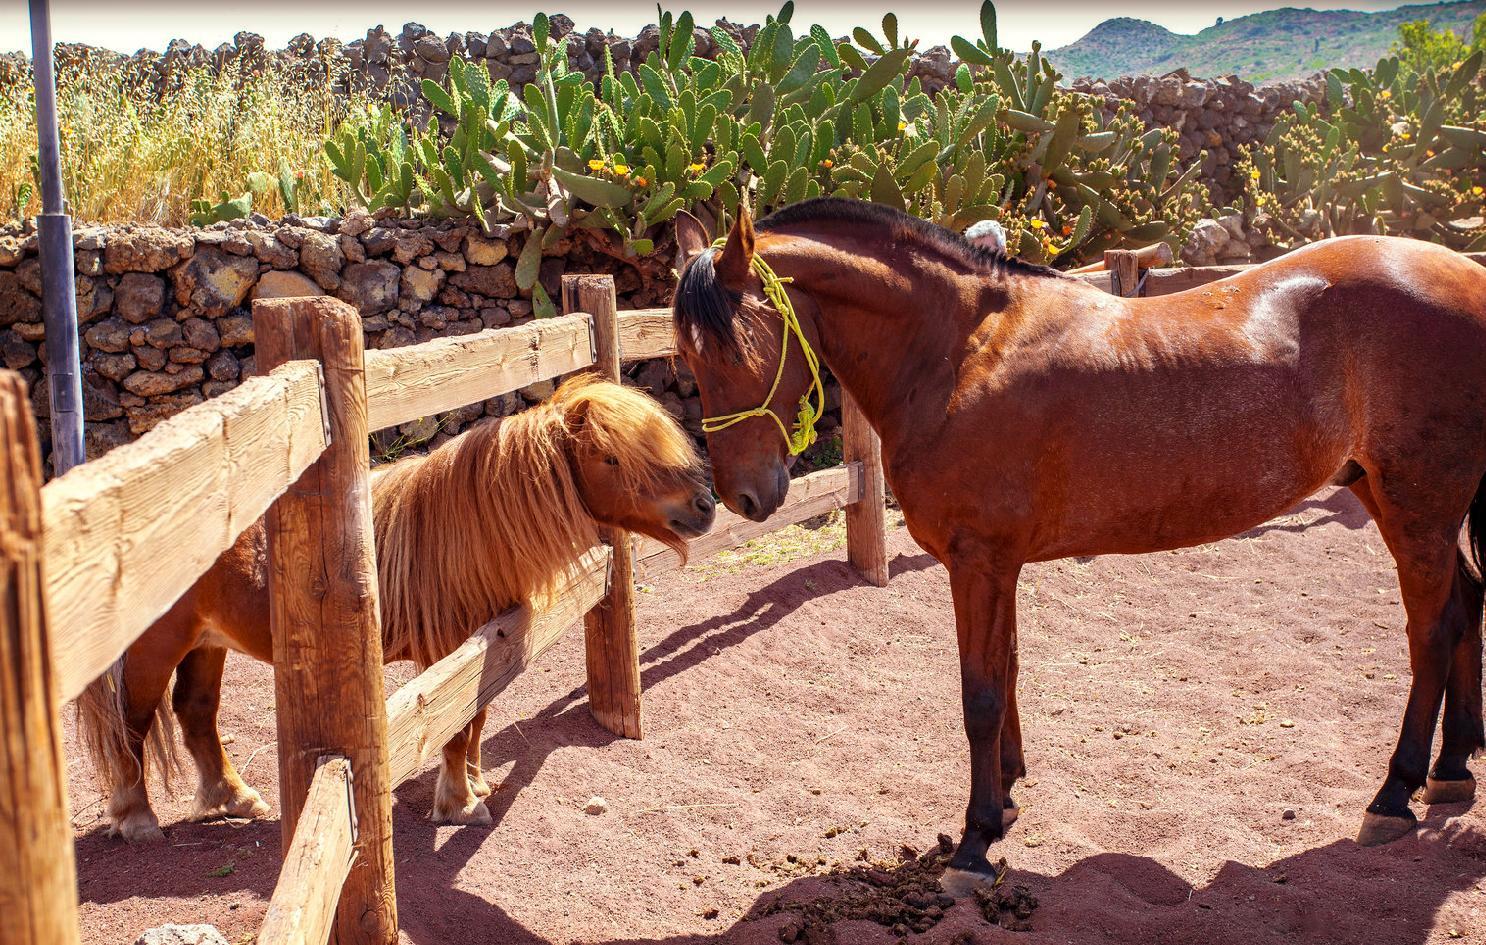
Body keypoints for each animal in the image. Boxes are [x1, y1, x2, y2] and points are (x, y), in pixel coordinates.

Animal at [78, 375, 716, 843]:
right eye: (611, 459)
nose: (705, 505)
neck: (463, 534)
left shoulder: (485, 644)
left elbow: (476, 718)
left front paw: (476, 785)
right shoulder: (447, 652)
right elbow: (456, 729)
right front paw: (459, 805)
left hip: (208, 642)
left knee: (195, 713)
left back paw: (233, 799)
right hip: (157, 645)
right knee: (132, 725)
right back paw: (137, 819)